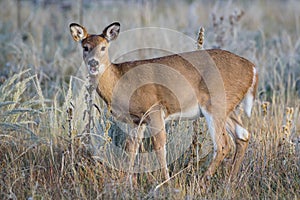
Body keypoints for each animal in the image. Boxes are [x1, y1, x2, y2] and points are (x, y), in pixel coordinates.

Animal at [69, 22, 258, 188]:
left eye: (103, 47)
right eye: (85, 47)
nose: (93, 63)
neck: (119, 80)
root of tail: (252, 68)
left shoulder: (154, 110)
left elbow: (159, 147)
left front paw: (166, 184)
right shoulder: (136, 121)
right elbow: (132, 148)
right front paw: (127, 185)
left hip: (216, 104)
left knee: (223, 144)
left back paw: (202, 182)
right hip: (229, 107)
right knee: (243, 136)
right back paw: (230, 182)